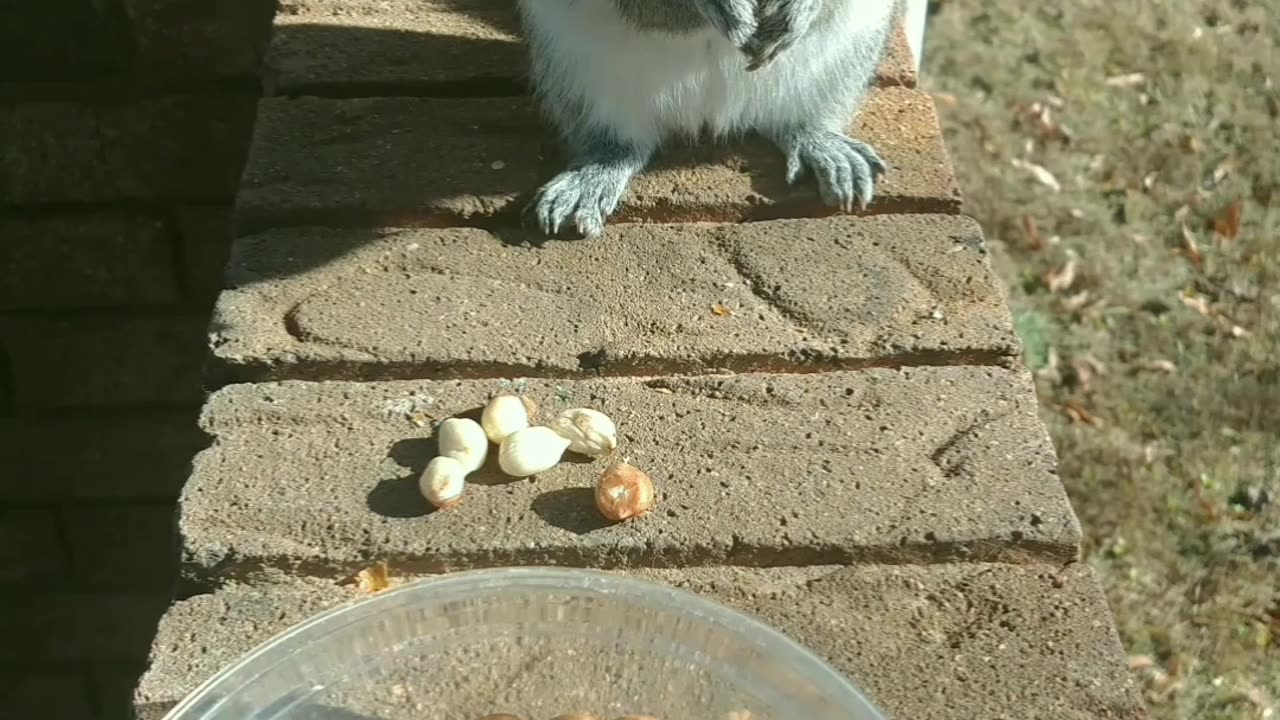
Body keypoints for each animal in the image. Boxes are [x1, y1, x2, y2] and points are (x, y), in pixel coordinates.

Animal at [514, 0, 896, 238]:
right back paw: (594, 176)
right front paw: (718, 6)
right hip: (573, 66)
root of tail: (713, 112)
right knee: (616, 141)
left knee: (795, 123)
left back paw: (822, 145)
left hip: (843, 55)